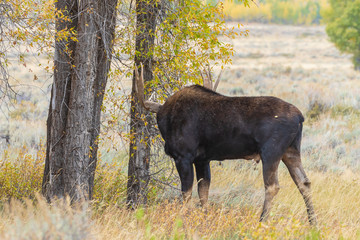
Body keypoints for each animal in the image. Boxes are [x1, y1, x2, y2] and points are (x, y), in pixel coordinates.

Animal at [134, 65, 316, 225]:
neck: (165, 121)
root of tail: (300, 117)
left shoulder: (183, 156)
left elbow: (186, 193)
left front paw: (181, 219)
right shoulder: (202, 159)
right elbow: (203, 192)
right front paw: (205, 218)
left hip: (271, 151)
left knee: (272, 186)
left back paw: (262, 221)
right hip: (291, 151)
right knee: (304, 182)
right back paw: (313, 223)